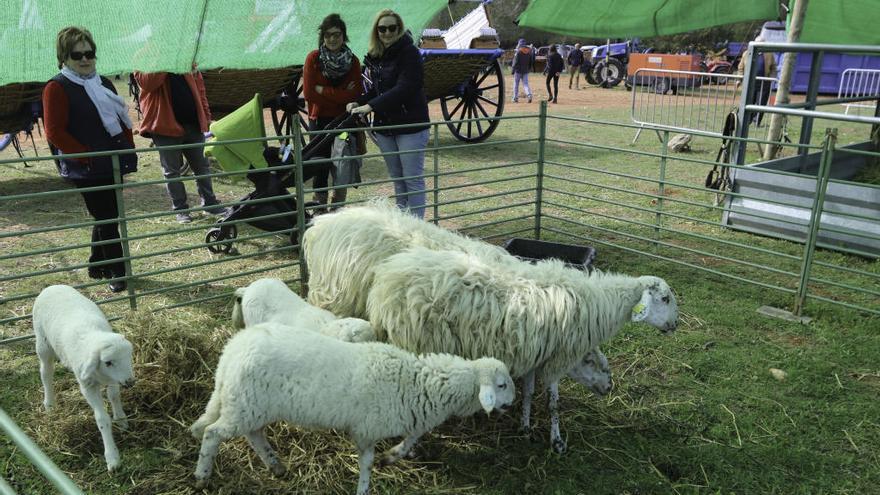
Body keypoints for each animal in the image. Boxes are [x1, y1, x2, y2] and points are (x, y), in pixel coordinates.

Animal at [32, 284, 135, 470]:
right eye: (108, 362)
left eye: (128, 356)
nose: (130, 382)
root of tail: (52, 286)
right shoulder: (87, 386)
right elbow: (102, 419)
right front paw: (112, 457)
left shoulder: (114, 379)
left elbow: (114, 396)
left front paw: (121, 419)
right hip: (42, 342)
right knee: (46, 372)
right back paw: (49, 403)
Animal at [189, 322, 512, 495]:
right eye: (501, 385)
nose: (511, 402)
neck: (417, 382)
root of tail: (232, 350)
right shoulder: (368, 429)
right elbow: (367, 462)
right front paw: (365, 486)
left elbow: (412, 437)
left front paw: (393, 456)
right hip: (245, 405)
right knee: (213, 434)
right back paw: (202, 475)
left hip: (250, 406)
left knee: (253, 435)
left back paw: (275, 465)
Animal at [364, 248, 680, 454]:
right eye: (665, 298)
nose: (675, 325)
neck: (598, 302)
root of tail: (385, 281)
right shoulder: (557, 359)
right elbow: (553, 403)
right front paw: (557, 442)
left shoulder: (535, 355)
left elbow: (528, 392)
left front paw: (525, 427)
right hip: (415, 341)